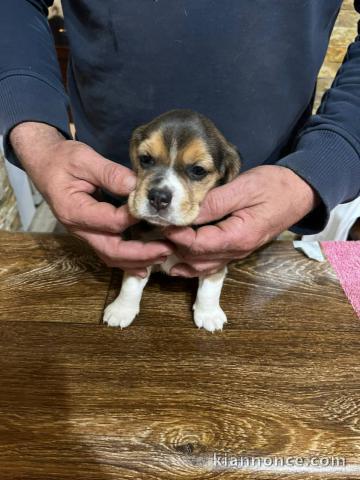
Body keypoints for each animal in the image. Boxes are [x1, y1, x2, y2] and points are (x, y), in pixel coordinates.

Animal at [102, 110, 240, 332]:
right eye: (146, 159)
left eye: (198, 170)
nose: (158, 197)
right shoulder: (138, 252)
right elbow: (131, 282)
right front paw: (122, 309)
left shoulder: (216, 256)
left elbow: (211, 283)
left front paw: (209, 314)